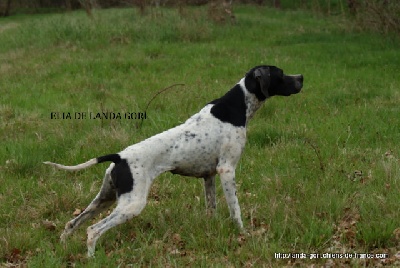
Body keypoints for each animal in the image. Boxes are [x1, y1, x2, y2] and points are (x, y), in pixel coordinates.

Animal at [43, 64, 304, 255]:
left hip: (105, 199)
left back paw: (64, 246)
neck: (237, 106)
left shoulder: (209, 176)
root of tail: (120, 156)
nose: (301, 77)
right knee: (93, 230)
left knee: (72, 224)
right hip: (132, 204)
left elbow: (212, 208)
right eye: (281, 73)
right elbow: (235, 210)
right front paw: (243, 234)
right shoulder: (227, 171)